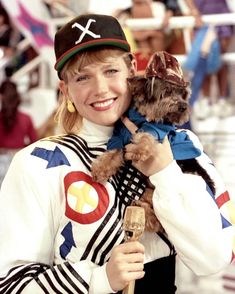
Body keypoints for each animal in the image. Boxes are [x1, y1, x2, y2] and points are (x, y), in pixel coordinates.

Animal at [91, 51, 215, 233]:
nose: (183, 106)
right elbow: (113, 152)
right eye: (167, 91)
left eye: (183, 94)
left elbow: (146, 136)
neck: (142, 117)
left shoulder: (157, 130)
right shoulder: (119, 135)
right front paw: (100, 169)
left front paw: (138, 150)